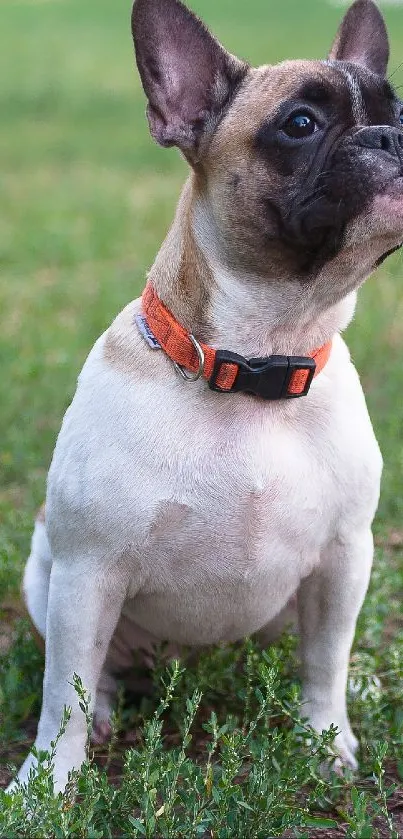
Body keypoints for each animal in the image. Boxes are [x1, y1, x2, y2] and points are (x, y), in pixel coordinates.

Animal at [9, 0, 403, 796]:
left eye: (400, 110)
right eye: (300, 124)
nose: (391, 136)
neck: (258, 359)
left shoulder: (345, 555)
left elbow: (325, 660)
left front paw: (325, 742)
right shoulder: (86, 571)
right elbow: (63, 694)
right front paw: (45, 789)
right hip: (45, 576)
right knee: (92, 674)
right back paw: (106, 710)